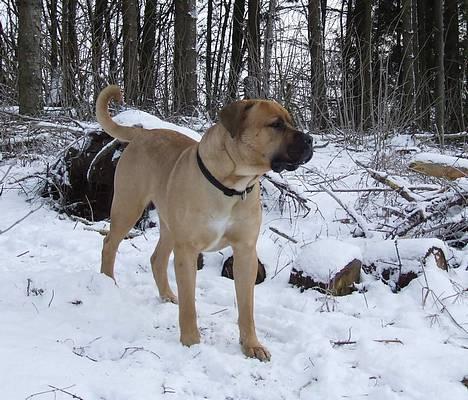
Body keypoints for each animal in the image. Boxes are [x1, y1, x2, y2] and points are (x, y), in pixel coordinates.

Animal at [95, 86, 314, 360]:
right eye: (276, 124)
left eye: (290, 121)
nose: (310, 140)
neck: (232, 185)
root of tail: (143, 132)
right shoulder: (188, 250)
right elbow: (189, 304)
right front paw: (191, 341)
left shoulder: (245, 251)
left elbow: (247, 308)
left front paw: (251, 344)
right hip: (128, 206)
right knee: (109, 244)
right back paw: (108, 283)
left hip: (168, 225)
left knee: (157, 258)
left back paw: (167, 295)